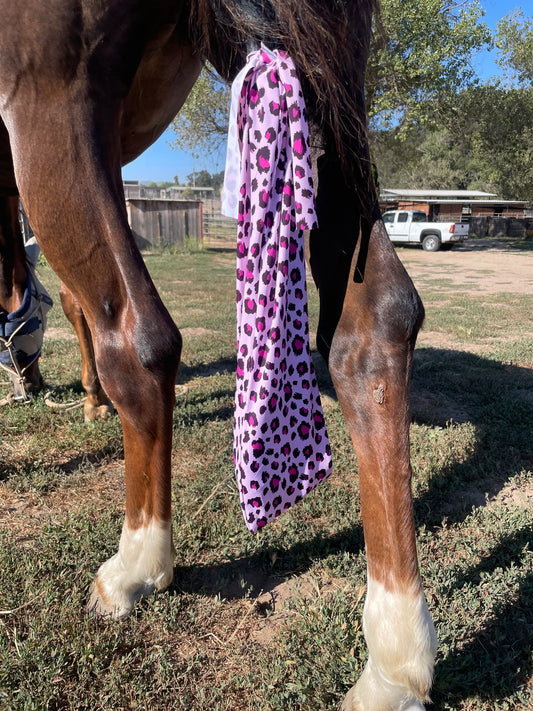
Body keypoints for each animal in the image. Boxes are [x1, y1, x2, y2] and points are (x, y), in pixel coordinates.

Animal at [0, 2, 436, 708]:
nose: (29, 382)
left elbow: (72, 306)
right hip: (325, 80)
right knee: (376, 325)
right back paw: (396, 660)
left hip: (50, 94)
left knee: (141, 339)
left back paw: (136, 566)